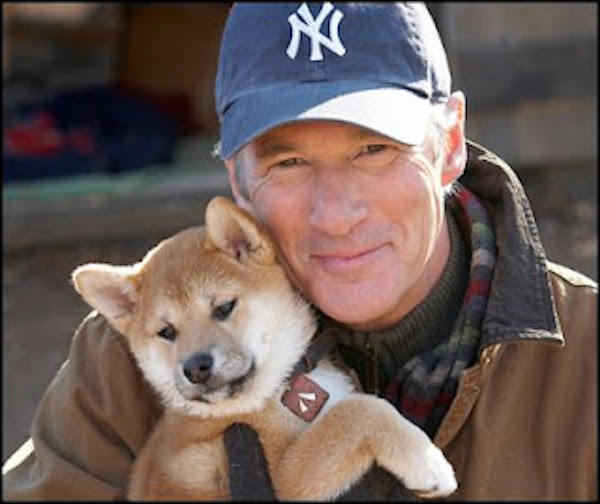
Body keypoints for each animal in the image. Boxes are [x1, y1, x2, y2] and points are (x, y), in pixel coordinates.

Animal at [71, 197, 454, 500]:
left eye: (224, 307)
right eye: (166, 332)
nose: (195, 367)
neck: (278, 389)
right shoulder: (283, 476)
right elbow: (357, 412)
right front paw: (426, 461)